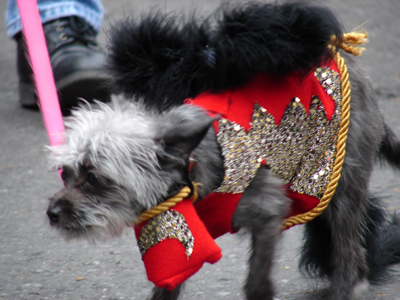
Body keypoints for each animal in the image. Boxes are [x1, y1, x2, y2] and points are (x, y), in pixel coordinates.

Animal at [47, 2, 400, 300]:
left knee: (349, 250)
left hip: (339, 182)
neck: (192, 171)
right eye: (65, 173)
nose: (52, 213)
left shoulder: (267, 213)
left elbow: (257, 282)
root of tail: (345, 60)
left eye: (95, 178)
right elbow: (167, 286)